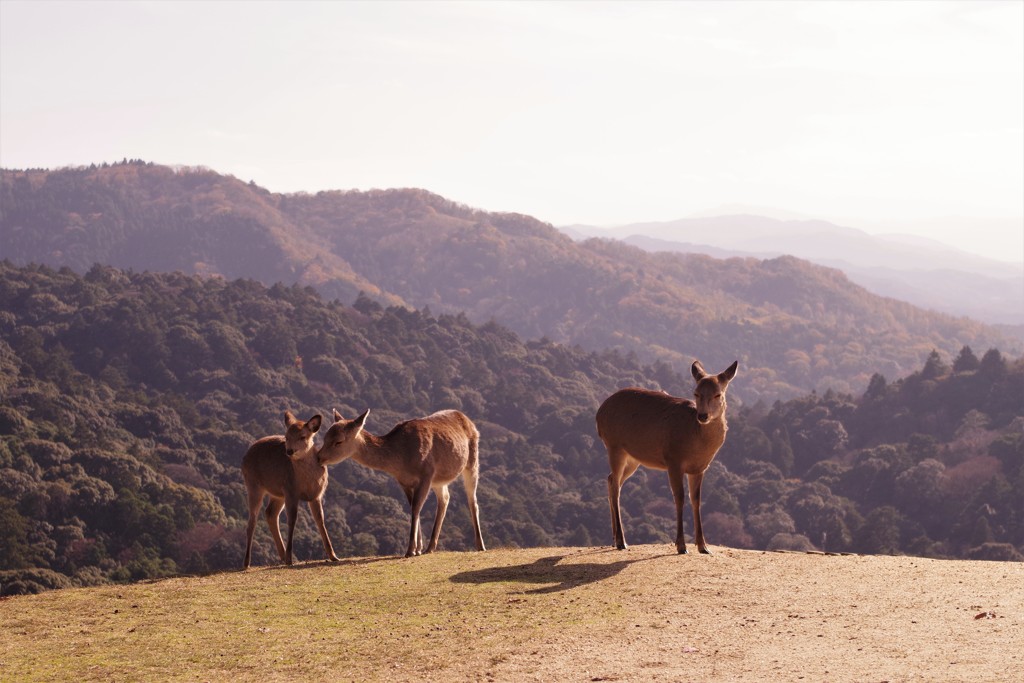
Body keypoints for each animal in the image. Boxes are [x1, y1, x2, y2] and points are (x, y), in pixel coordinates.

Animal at [241, 409, 342, 569]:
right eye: (287, 436)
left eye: (303, 436)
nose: (289, 451)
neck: (306, 482)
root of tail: (244, 457)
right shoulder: (291, 491)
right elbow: (292, 520)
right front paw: (290, 559)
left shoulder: (317, 495)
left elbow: (320, 520)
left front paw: (334, 556)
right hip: (253, 485)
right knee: (252, 521)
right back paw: (247, 563)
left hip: (277, 494)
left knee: (270, 513)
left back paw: (281, 556)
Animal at [317, 409, 485, 557]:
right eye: (325, 437)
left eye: (338, 441)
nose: (319, 457)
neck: (401, 458)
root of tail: (467, 419)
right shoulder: (403, 481)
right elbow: (413, 508)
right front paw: (418, 548)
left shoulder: (426, 475)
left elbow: (416, 508)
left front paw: (410, 550)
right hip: (439, 480)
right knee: (445, 498)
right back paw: (430, 547)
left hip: (472, 461)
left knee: (473, 500)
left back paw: (480, 545)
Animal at [598, 358, 741, 557]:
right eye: (696, 393)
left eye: (718, 394)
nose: (702, 415)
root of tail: (599, 413)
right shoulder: (673, 460)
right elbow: (679, 498)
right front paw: (681, 546)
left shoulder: (699, 468)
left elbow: (696, 500)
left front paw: (703, 546)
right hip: (614, 445)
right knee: (615, 485)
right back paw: (621, 541)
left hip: (633, 458)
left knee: (612, 480)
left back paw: (614, 539)